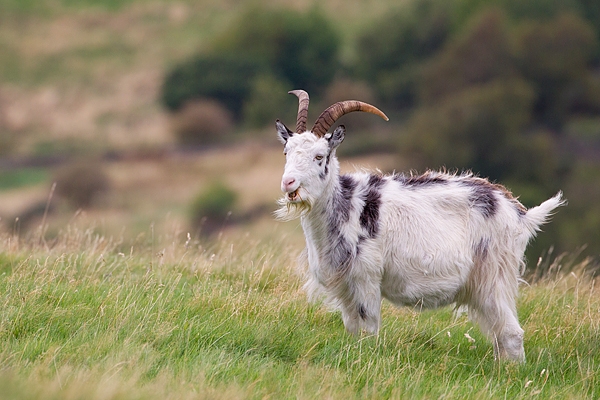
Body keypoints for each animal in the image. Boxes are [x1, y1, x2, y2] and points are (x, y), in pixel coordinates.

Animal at [274, 90, 564, 362]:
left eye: (319, 156)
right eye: (286, 152)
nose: (288, 183)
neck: (347, 206)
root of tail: (519, 214)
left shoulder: (367, 280)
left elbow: (369, 331)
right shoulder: (346, 288)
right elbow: (353, 330)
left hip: (495, 276)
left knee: (512, 333)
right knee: (499, 335)